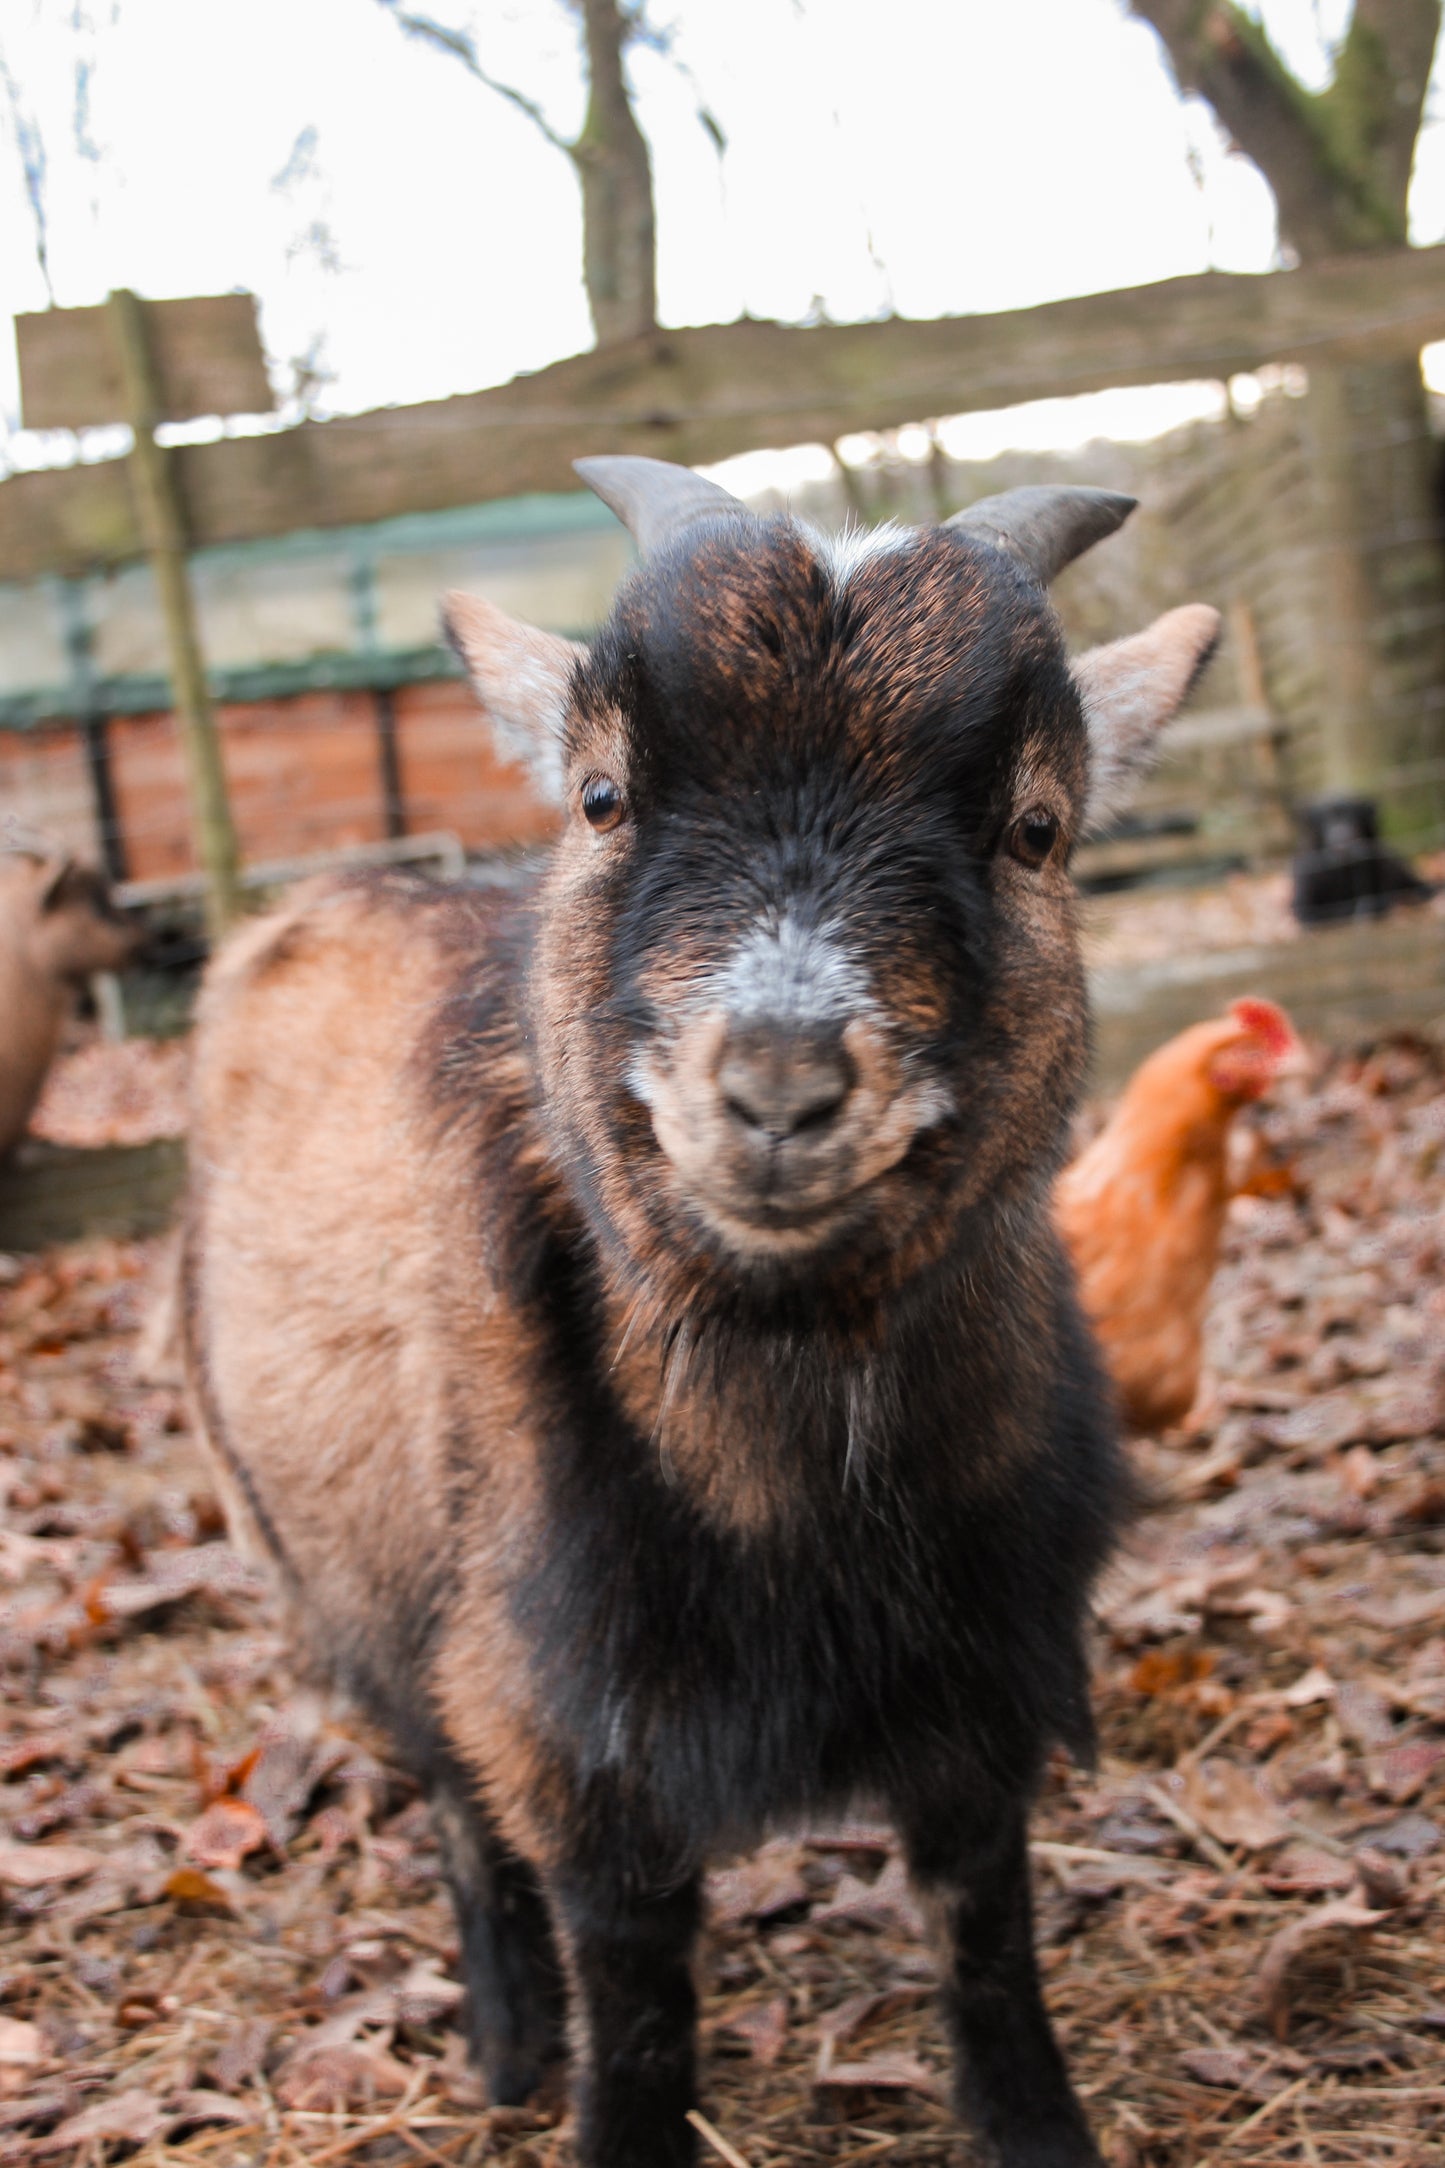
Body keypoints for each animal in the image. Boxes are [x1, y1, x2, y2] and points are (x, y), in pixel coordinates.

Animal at [180, 461, 1221, 2168]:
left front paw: (1035, 2130)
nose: (783, 1089)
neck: (800, 1489)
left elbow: (983, 1934)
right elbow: (638, 2004)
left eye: (1036, 827)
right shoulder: (565, 1727)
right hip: (345, 1572)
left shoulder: (980, 1692)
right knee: (450, 1800)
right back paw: (506, 2043)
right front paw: (591, 2093)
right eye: (601, 798)